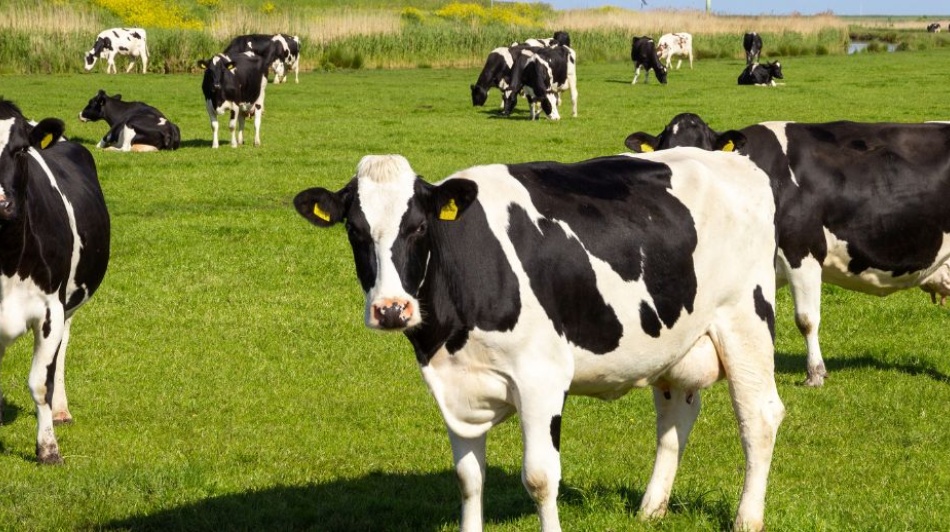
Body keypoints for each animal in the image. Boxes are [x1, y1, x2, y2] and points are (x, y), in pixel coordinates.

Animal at [0, 100, 110, 464]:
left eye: (20, 149)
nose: (1, 203)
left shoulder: (51, 310)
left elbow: (39, 384)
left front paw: (48, 449)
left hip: (68, 305)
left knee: (60, 354)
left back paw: (61, 411)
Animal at [293, 152, 784, 532]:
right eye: (355, 231)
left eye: (417, 227)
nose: (392, 309)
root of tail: (733, 160)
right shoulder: (455, 385)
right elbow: (468, 477)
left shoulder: (540, 378)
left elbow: (540, 477)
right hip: (673, 341)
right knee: (675, 418)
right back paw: (651, 509)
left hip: (745, 320)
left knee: (760, 417)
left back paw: (747, 518)